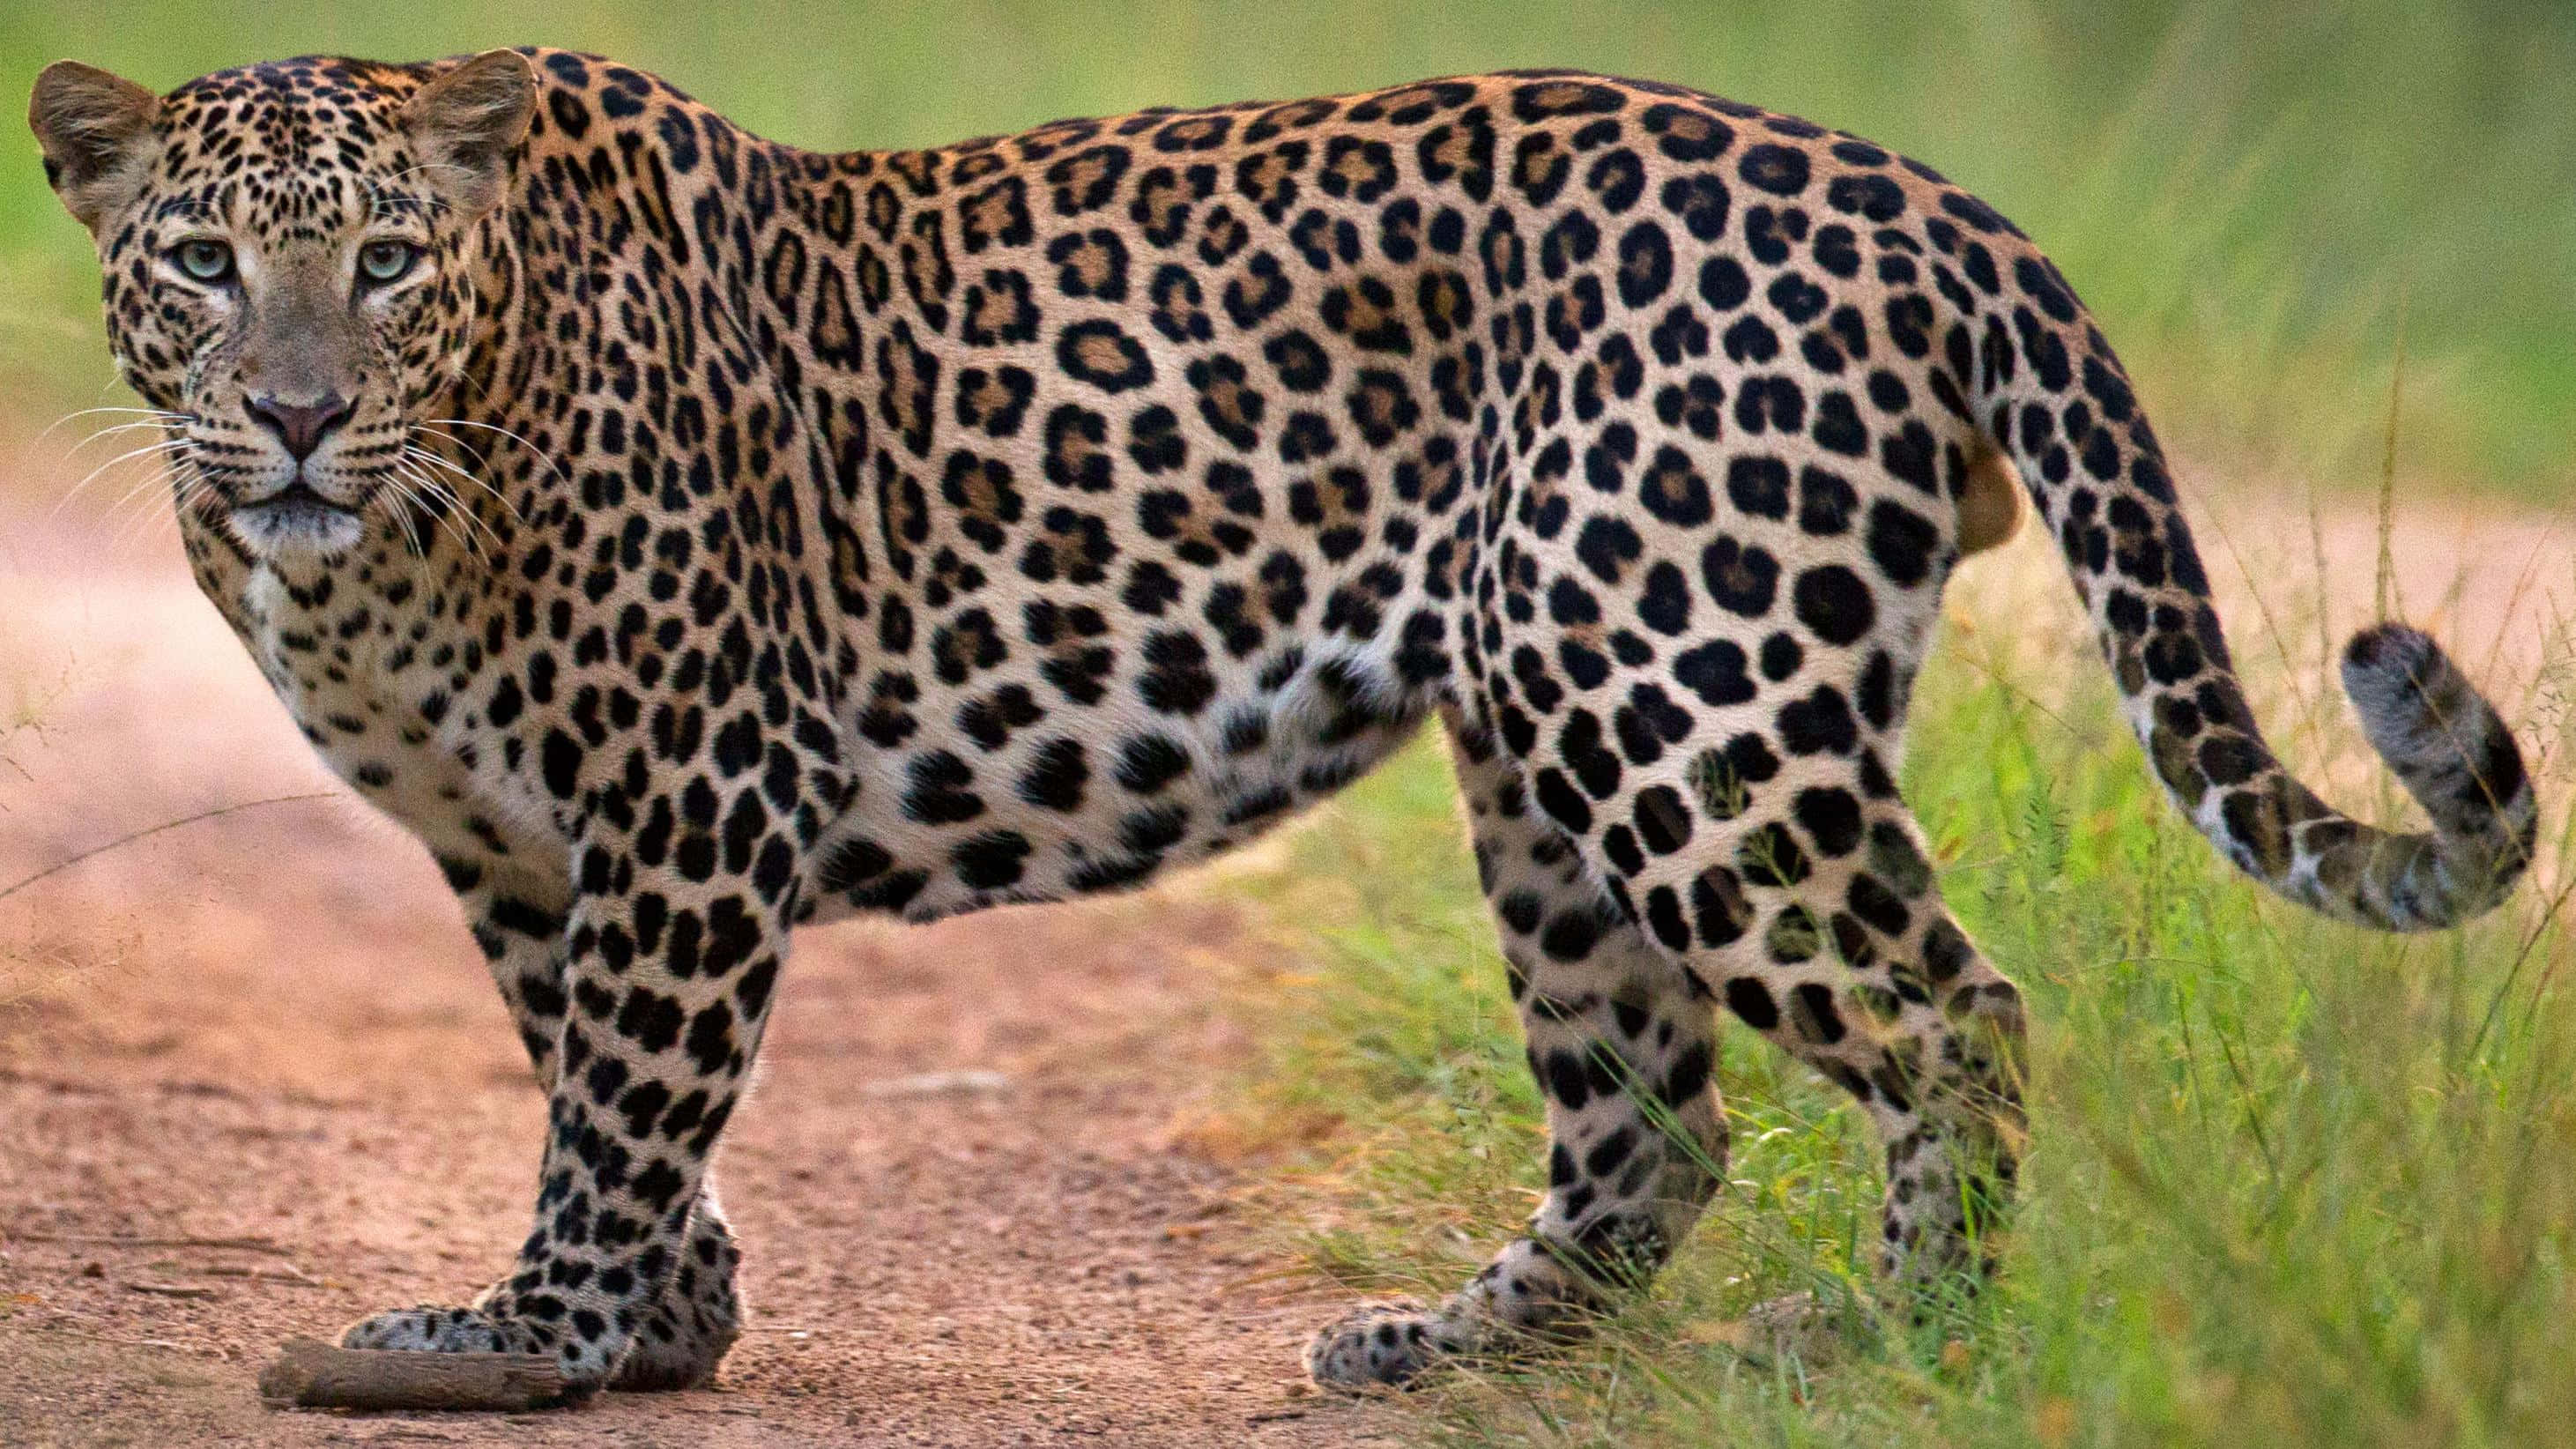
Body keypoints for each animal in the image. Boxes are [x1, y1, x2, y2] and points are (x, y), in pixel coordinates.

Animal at [29, 46, 2535, 1397]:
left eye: (381, 263)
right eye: (201, 264)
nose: (290, 416)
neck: (393, 527)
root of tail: (1922, 199)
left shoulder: (697, 793)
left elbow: (625, 1097)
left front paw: (528, 1339)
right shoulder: (517, 846)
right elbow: (596, 1077)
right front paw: (667, 1324)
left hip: (1682, 699)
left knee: (1951, 1014)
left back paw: (1891, 1350)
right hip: (1549, 748)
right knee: (1651, 1124)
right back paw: (1437, 1349)